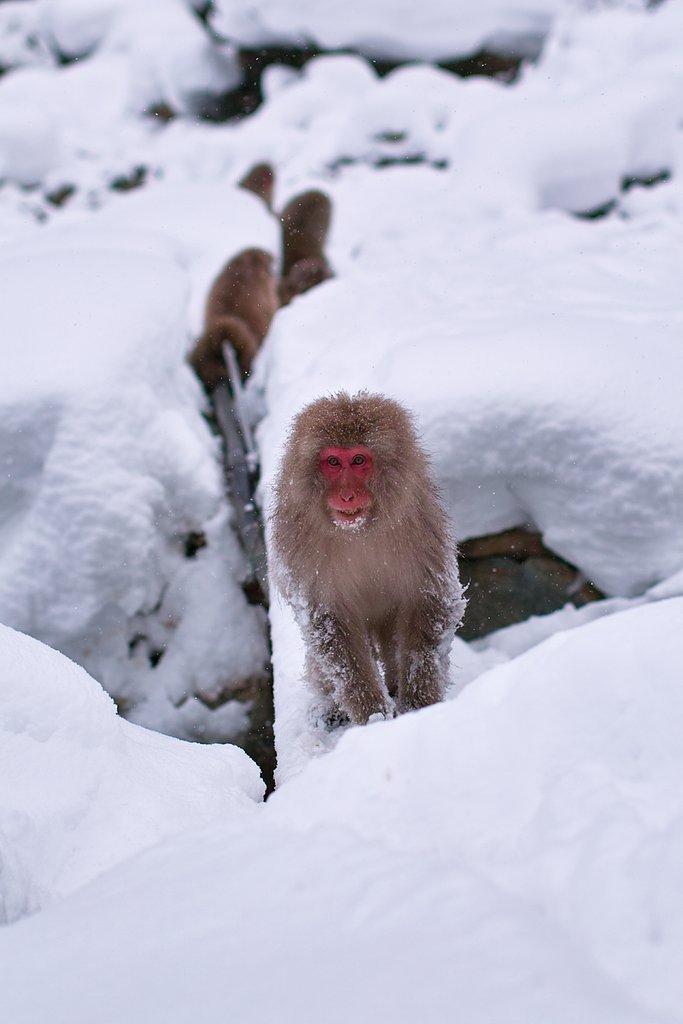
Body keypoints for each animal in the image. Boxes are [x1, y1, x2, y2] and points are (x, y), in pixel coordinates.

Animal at [272, 392, 466, 726]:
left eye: (359, 461)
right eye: (333, 462)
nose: (347, 495)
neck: (359, 531)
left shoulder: (420, 523)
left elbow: (429, 604)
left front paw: (418, 704)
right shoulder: (297, 541)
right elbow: (329, 625)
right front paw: (373, 714)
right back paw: (332, 705)